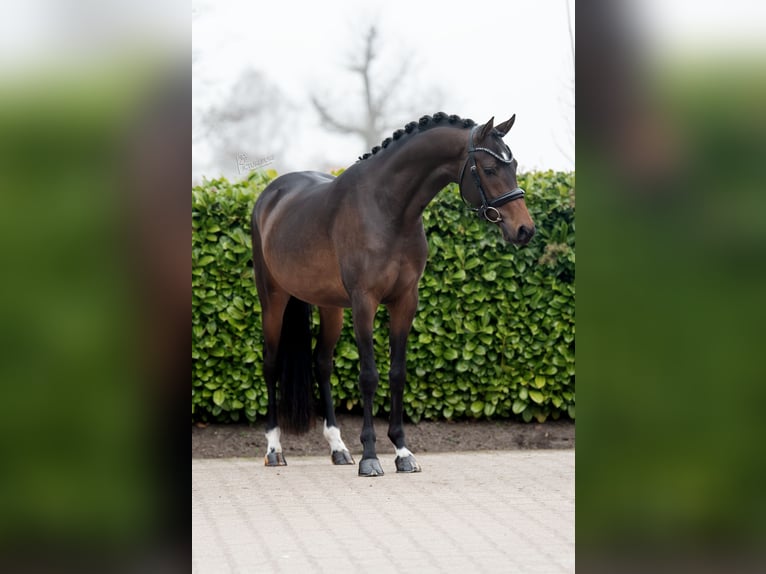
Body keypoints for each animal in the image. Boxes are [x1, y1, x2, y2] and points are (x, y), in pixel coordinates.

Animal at [251, 112, 535, 476]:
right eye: (488, 169)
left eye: (513, 165)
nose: (524, 230)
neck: (388, 210)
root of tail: (270, 196)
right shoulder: (364, 302)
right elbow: (369, 376)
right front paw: (371, 456)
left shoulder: (405, 302)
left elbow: (397, 374)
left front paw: (402, 452)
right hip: (273, 298)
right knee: (271, 364)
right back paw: (274, 449)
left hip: (330, 307)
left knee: (322, 363)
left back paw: (338, 448)